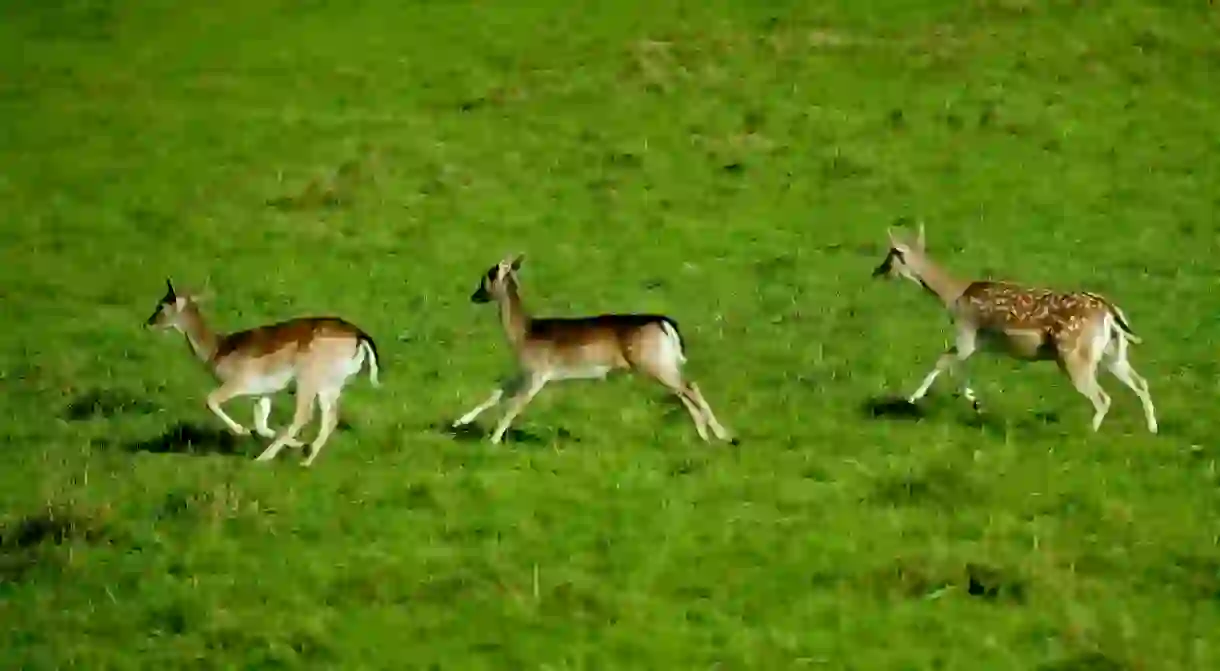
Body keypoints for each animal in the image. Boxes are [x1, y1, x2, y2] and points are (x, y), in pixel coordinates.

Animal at [143, 279, 380, 468]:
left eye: (162, 305)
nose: (148, 323)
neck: (216, 350)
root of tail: (360, 337)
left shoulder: (239, 381)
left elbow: (211, 400)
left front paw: (242, 431)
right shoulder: (263, 392)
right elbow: (261, 424)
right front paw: (297, 444)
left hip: (308, 378)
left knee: (303, 415)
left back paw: (264, 458)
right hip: (332, 384)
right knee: (330, 418)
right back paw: (306, 458)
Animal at [451, 256, 727, 446]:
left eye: (487, 276)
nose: (474, 295)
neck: (523, 335)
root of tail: (666, 324)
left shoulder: (538, 373)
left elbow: (514, 405)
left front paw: (493, 439)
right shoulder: (524, 370)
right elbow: (496, 392)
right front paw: (459, 421)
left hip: (652, 363)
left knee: (689, 387)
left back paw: (723, 435)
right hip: (664, 363)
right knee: (684, 391)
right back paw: (705, 436)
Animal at [873, 224, 1156, 436]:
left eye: (892, 254)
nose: (878, 271)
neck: (953, 298)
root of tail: (1109, 311)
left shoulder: (967, 330)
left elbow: (944, 360)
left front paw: (913, 397)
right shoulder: (978, 341)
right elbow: (959, 367)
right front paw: (975, 402)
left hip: (1073, 354)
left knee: (1102, 397)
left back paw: (1089, 435)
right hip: (1112, 351)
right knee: (1140, 381)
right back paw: (1153, 428)